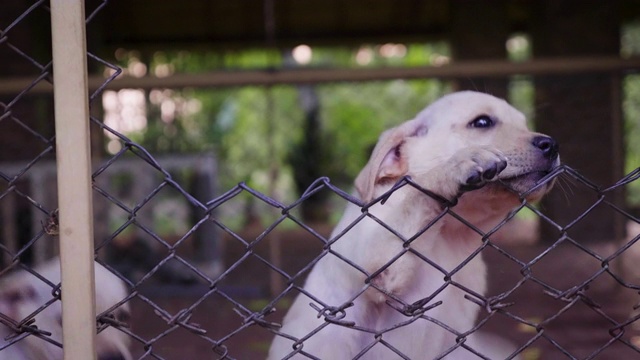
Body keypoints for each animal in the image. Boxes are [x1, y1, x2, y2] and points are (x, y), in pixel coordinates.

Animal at [270, 91, 560, 358]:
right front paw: (455, 166)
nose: (552, 144)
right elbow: (420, 190)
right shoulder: (378, 266)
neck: (450, 234)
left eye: (524, 124)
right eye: (482, 122)